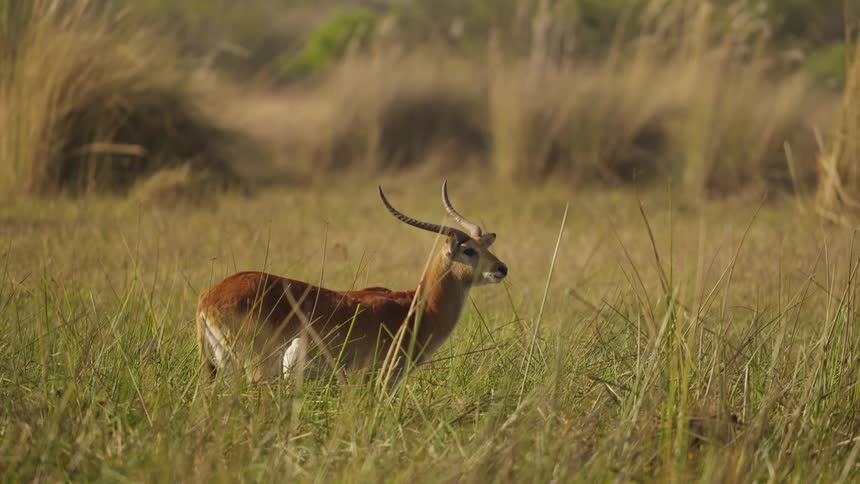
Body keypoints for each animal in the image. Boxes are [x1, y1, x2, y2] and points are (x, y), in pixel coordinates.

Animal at [195, 181, 508, 385]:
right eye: (469, 251)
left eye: (484, 245)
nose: (501, 268)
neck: (415, 307)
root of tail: (208, 296)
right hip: (258, 368)